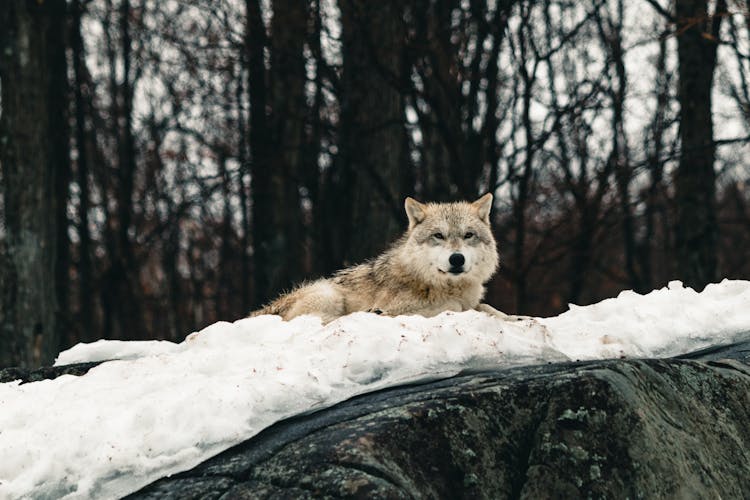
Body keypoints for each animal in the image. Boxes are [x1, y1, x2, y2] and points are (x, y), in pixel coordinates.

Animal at [250, 193, 520, 322]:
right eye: (438, 236)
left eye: (468, 235)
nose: (457, 259)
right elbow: (454, 307)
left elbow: (488, 307)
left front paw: (516, 317)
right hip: (328, 294)